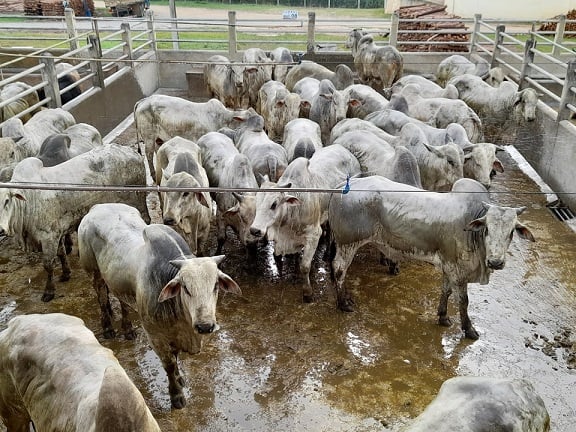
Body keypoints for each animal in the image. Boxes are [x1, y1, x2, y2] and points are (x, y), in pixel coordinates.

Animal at [0, 143, 150, 302]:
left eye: (7, 200)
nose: (1, 230)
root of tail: (131, 151)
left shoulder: (48, 237)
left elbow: (48, 265)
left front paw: (49, 291)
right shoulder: (57, 232)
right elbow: (61, 254)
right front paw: (65, 273)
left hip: (138, 200)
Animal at [77, 202, 240, 408]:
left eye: (216, 286)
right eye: (185, 288)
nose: (205, 326)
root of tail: (97, 207)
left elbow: (176, 359)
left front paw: (180, 379)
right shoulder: (156, 336)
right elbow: (169, 365)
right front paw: (177, 396)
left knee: (122, 302)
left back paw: (128, 329)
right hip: (94, 272)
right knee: (102, 298)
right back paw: (107, 329)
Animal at [328, 176, 536, 338]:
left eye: (511, 232)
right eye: (487, 229)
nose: (496, 262)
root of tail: (344, 185)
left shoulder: (449, 266)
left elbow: (446, 291)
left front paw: (442, 316)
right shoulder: (458, 271)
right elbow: (463, 301)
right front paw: (468, 329)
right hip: (348, 243)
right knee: (339, 269)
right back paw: (343, 303)